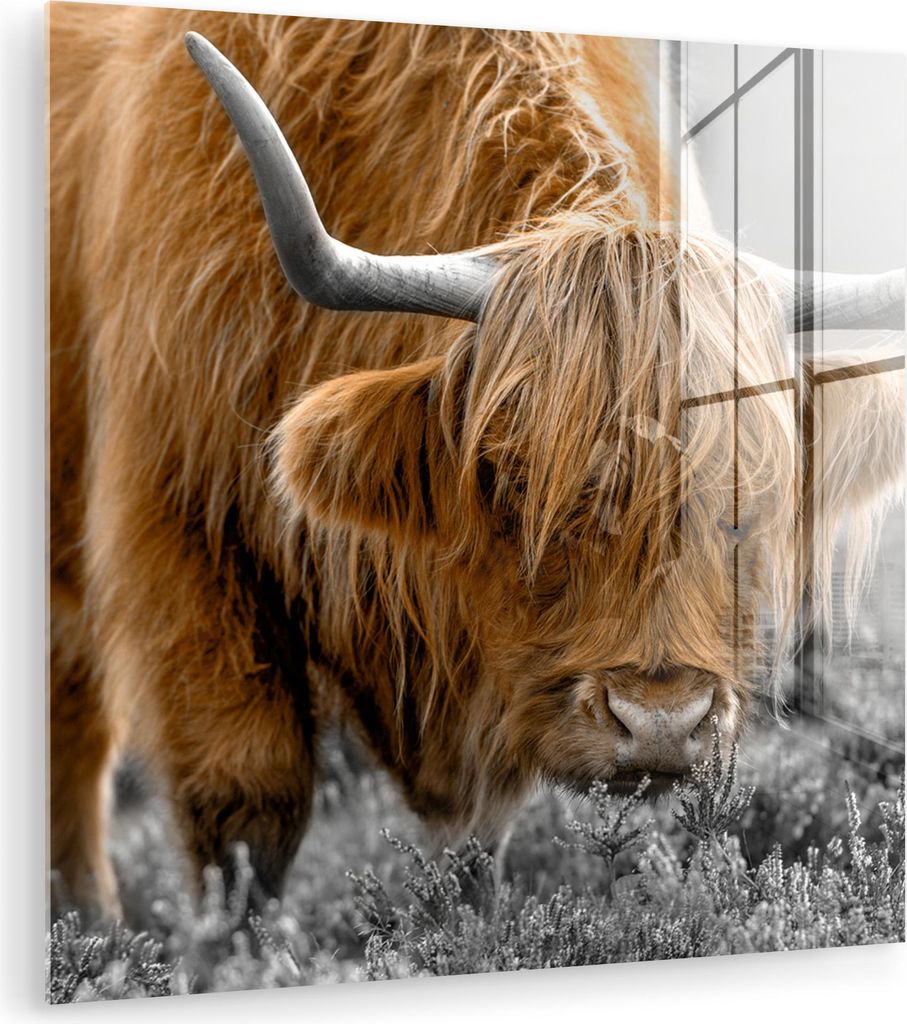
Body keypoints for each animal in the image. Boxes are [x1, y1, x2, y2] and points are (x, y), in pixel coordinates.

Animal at [48, 3, 904, 922]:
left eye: (748, 493)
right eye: (508, 474)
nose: (660, 722)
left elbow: (475, 838)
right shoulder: (183, 531)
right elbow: (246, 804)